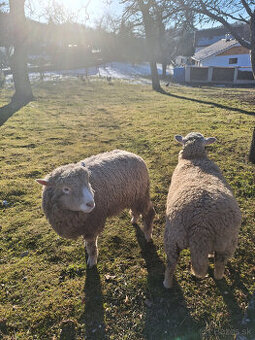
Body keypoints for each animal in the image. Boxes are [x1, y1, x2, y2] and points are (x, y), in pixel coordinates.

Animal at [163, 131, 241, 288]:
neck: (195, 160)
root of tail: (201, 223)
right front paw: (210, 254)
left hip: (173, 236)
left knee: (171, 263)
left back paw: (166, 284)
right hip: (227, 241)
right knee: (219, 265)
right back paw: (218, 276)